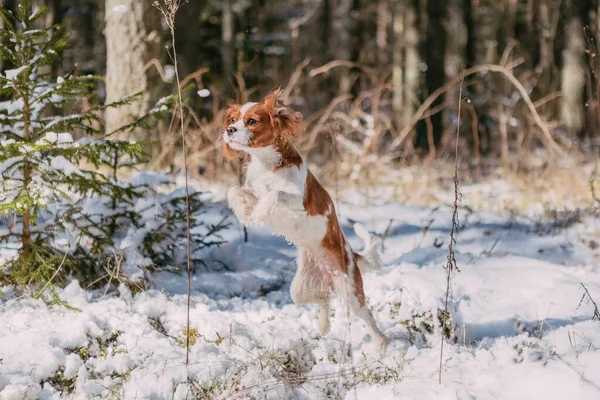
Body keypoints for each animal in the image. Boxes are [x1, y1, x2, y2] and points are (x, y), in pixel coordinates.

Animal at [225, 89, 390, 346]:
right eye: (233, 119)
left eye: (251, 121)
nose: (229, 130)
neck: (266, 164)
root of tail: (352, 254)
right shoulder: (252, 189)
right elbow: (234, 190)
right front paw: (245, 211)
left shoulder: (300, 202)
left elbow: (274, 194)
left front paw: (258, 212)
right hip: (300, 289)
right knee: (324, 299)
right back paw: (323, 326)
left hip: (349, 289)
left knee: (367, 315)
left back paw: (380, 344)